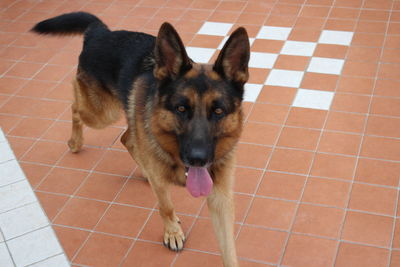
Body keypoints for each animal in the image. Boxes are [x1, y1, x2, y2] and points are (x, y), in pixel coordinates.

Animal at [32, 11, 250, 266]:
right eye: (181, 108)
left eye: (218, 111)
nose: (198, 159)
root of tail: (100, 31)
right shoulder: (165, 189)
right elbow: (166, 207)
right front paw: (172, 232)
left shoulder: (220, 200)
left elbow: (229, 250)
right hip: (102, 114)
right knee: (76, 107)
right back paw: (75, 142)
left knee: (127, 138)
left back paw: (143, 168)